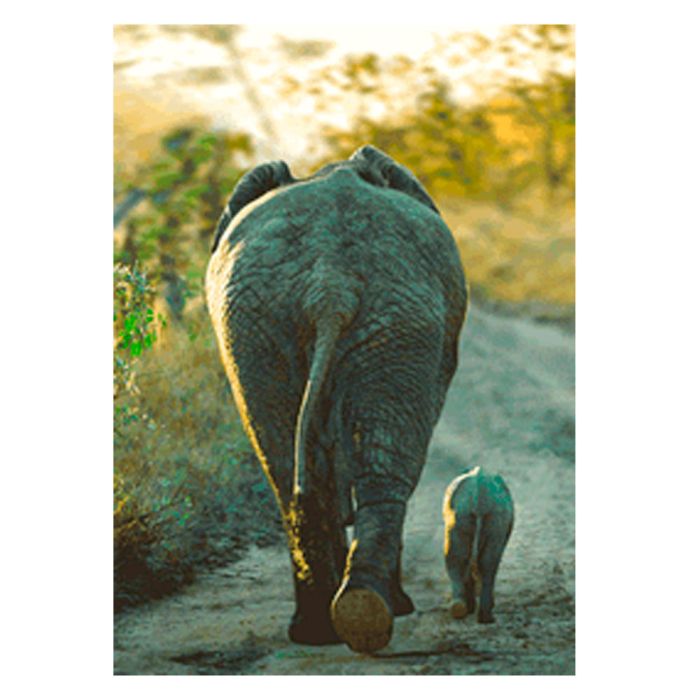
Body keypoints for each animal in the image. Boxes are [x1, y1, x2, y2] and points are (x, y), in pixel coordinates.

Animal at [205, 144, 468, 652]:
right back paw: (368, 614)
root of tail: (330, 284)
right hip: (396, 318)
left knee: (286, 468)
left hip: (257, 324)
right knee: (385, 470)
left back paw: (326, 628)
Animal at [442, 466, 514, 623]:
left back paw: (464, 611)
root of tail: (478, 497)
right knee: (482, 562)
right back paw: (480, 615)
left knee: (460, 558)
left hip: (463, 516)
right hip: (489, 517)